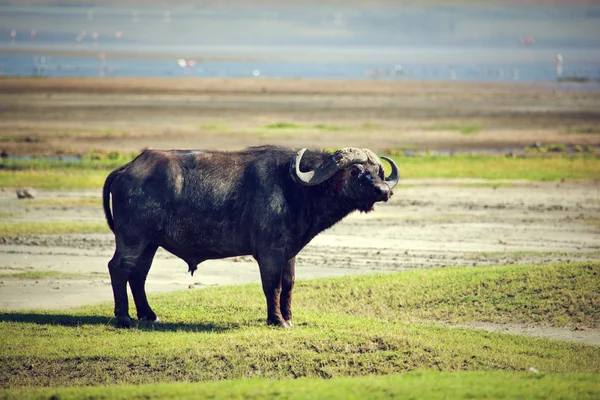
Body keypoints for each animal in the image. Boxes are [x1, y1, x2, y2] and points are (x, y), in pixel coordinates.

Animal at [104, 146, 398, 328]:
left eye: (378, 172)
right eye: (355, 171)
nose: (384, 190)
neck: (294, 189)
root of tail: (125, 169)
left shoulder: (289, 253)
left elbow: (289, 285)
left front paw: (288, 318)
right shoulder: (269, 253)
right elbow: (272, 286)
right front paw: (276, 320)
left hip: (150, 243)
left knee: (138, 274)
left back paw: (148, 315)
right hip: (133, 238)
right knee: (119, 268)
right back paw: (124, 318)